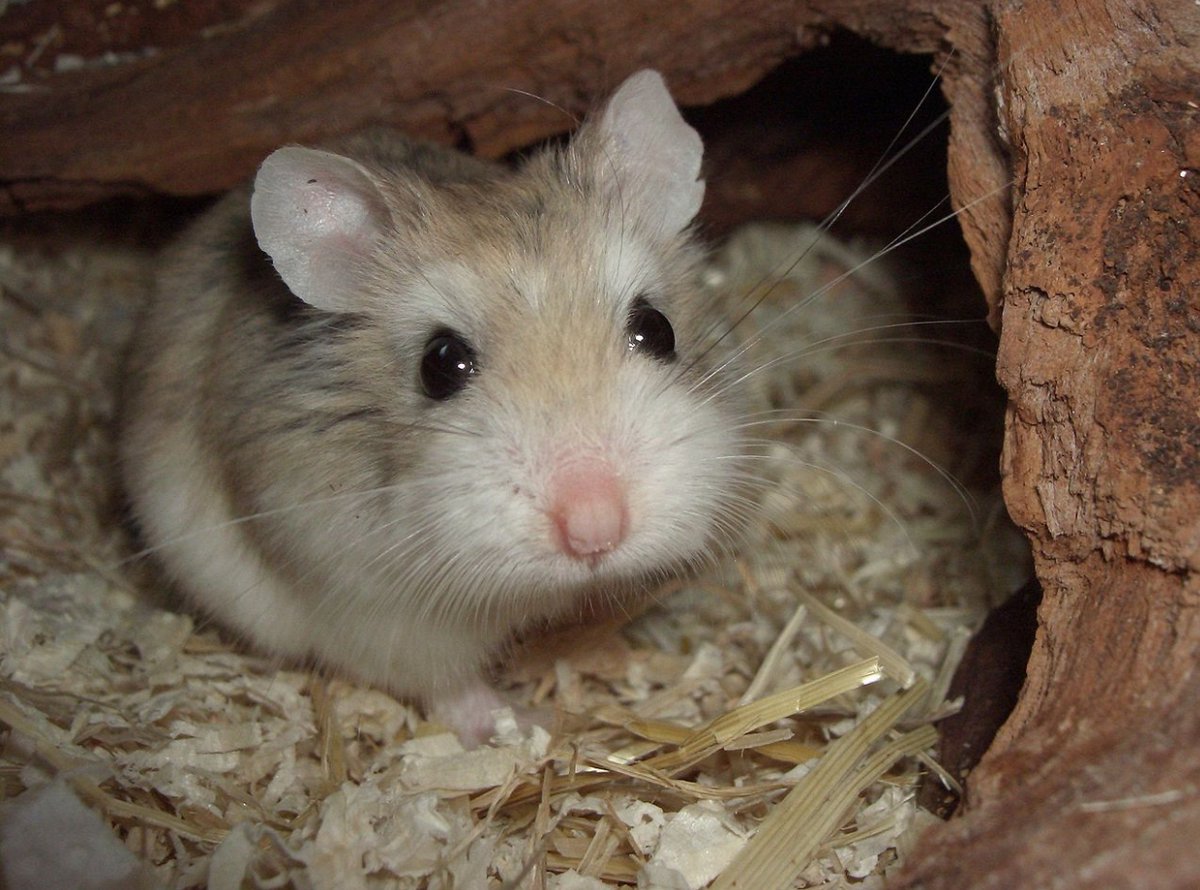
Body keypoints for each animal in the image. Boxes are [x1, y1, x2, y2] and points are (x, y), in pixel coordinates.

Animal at [119, 70, 750, 745]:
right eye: (440, 363)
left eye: (658, 330)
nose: (595, 531)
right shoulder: (377, 614)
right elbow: (449, 686)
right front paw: (521, 727)